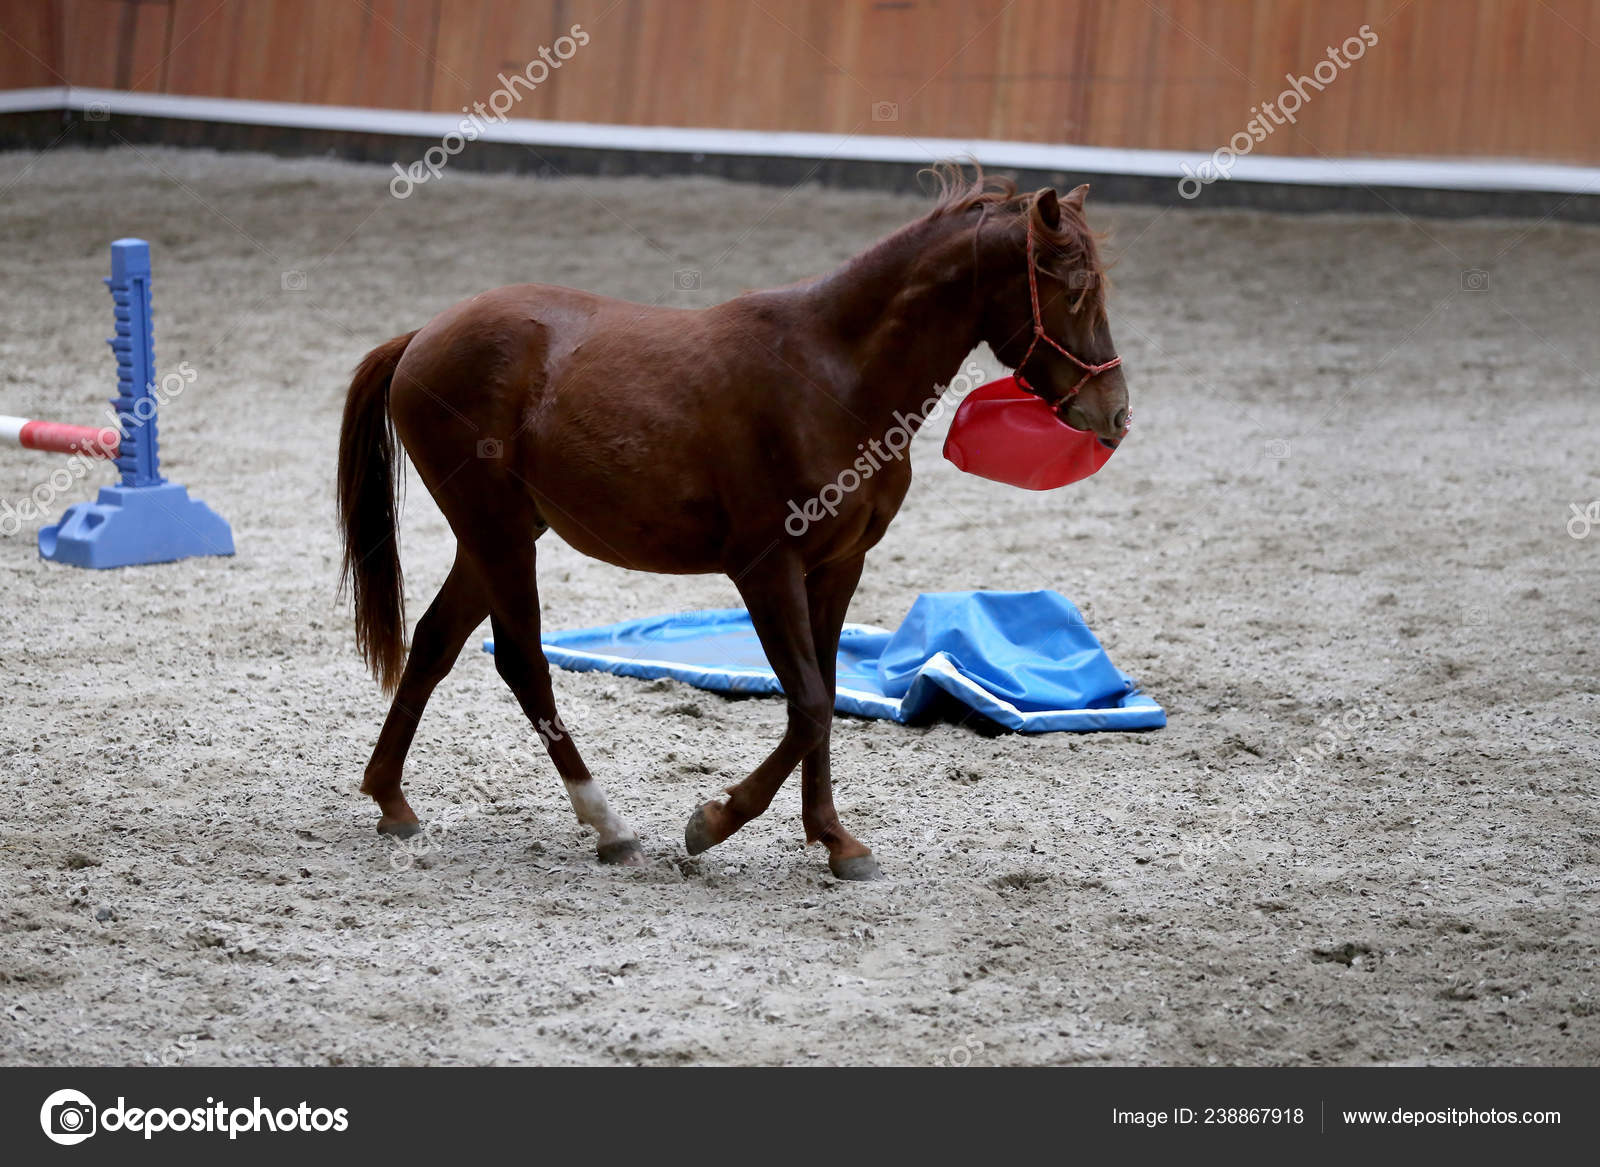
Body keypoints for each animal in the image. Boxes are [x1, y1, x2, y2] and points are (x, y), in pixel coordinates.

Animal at [336, 165, 1130, 881]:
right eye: (1072, 290)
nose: (1116, 414)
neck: (835, 377)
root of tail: (423, 338)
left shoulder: (839, 566)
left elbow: (827, 697)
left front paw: (836, 840)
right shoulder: (766, 566)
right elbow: (807, 703)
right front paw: (713, 822)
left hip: (498, 535)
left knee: (436, 643)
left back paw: (393, 801)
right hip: (497, 532)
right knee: (523, 662)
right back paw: (609, 826)